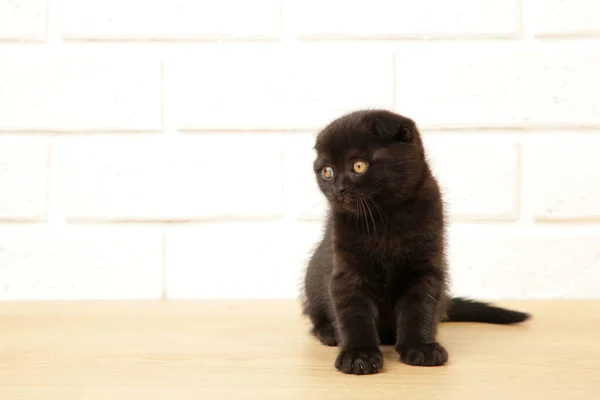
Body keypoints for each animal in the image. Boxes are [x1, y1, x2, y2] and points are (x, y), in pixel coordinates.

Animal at [302, 108, 528, 376]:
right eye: (327, 171)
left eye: (358, 166)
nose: (339, 189)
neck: (384, 218)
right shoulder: (347, 270)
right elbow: (352, 312)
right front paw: (359, 355)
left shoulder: (426, 266)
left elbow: (420, 308)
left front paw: (421, 347)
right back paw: (329, 332)